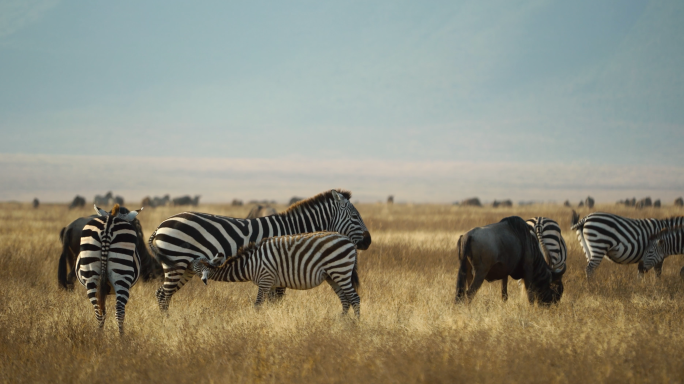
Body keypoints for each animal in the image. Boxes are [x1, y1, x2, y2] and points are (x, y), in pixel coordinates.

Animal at [76, 204, 142, 332]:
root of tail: (109, 223)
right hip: (122, 275)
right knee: (119, 312)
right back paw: (121, 336)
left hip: (90, 275)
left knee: (99, 312)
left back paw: (99, 336)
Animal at [187, 231, 360, 318]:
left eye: (194, 267)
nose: (186, 263)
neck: (248, 264)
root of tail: (347, 239)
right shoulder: (272, 283)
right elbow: (271, 304)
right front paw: (271, 318)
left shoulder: (265, 279)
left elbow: (257, 305)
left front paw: (255, 323)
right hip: (332, 276)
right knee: (345, 300)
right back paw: (341, 322)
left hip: (340, 270)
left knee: (354, 298)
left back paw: (355, 326)